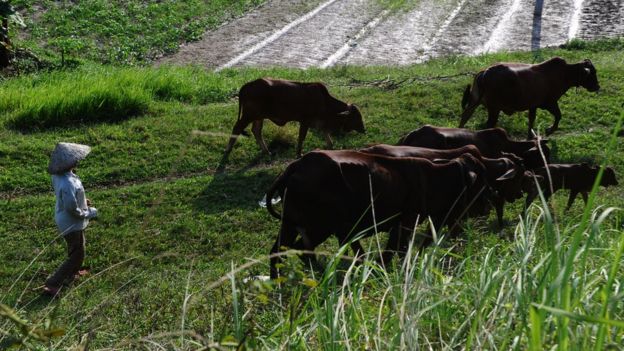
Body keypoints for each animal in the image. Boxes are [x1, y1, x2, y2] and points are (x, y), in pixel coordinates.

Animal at [224, 79, 364, 159]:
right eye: (356, 116)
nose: (364, 129)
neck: (325, 101)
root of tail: (246, 86)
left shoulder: (320, 122)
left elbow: (327, 137)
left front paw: (331, 147)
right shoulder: (305, 121)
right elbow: (301, 138)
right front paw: (299, 154)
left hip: (259, 117)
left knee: (256, 131)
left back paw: (267, 152)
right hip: (249, 115)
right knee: (237, 128)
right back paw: (227, 150)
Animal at [266, 150, 494, 280]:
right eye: (482, 179)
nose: (488, 205)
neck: (434, 178)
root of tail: (295, 166)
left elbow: (395, 249)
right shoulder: (409, 219)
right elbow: (399, 250)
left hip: (297, 225)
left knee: (286, 250)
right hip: (323, 225)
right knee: (302, 250)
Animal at [458, 57, 600, 139]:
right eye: (592, 73)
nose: (597, 87)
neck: (565, 73)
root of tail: (485, 72)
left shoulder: (534, 105)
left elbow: (532, 120)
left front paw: (531, 136)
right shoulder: (550, 103)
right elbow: (559, 116)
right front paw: (549, 130)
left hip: (474, 102)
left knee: (465, 117)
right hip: (494, 109)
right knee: (488, 125)